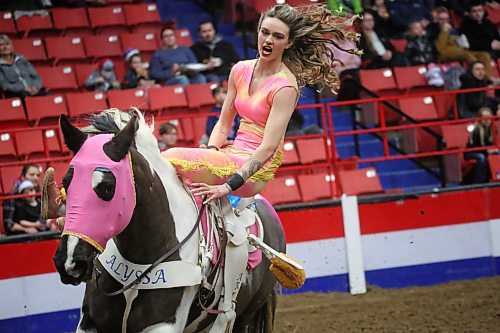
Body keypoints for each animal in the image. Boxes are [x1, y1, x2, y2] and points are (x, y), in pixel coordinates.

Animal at [52, 109, 288, 332]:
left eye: (108, 187)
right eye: (66, 182)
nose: (70, 261)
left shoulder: (164, 325)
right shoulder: (89, 321)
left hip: (243, 315)